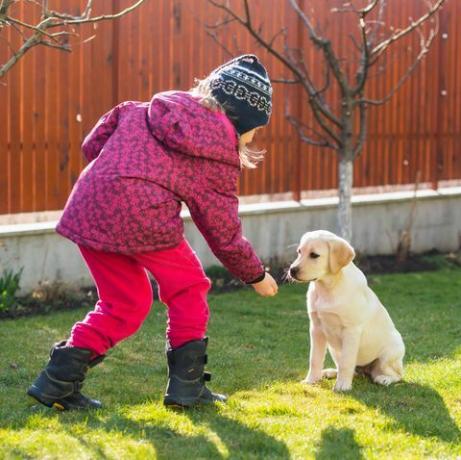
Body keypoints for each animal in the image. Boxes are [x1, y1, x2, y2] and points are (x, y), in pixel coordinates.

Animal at [290, 230, 404, 392]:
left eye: (314, 255)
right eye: (299, 252)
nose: (292, 270)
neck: (328, 287)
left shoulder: (351, 331)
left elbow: (346, 362)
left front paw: (342, 386)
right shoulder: (316, 328)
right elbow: (315, 358)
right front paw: (311, 380)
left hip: (389, 354)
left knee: (396, 374)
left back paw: (384, 379)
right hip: (334, 349)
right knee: (353, 371)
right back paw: (330, 372)